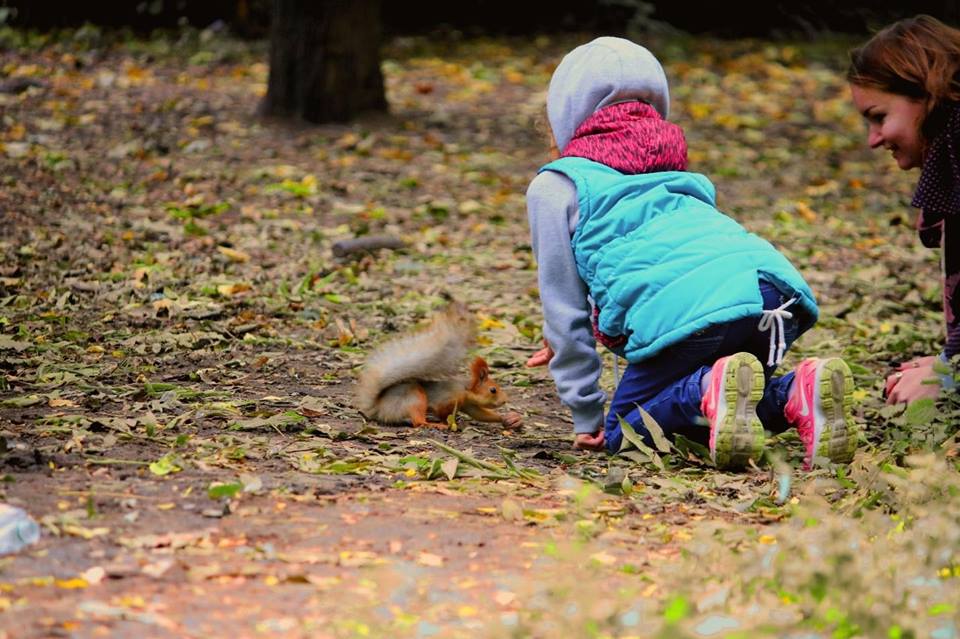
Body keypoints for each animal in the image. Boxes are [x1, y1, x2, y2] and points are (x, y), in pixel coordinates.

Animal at [354, 304, 520, 430]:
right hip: (415, 398)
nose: (505, 401)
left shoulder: (469, 404)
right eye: (493, 390)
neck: (465, 389)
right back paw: (432, 424)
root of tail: (378, 409)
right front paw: (448, 423)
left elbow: (481, 414)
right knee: (417, 421)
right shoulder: (447, 400)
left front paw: (507, 418)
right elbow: (442, 413)